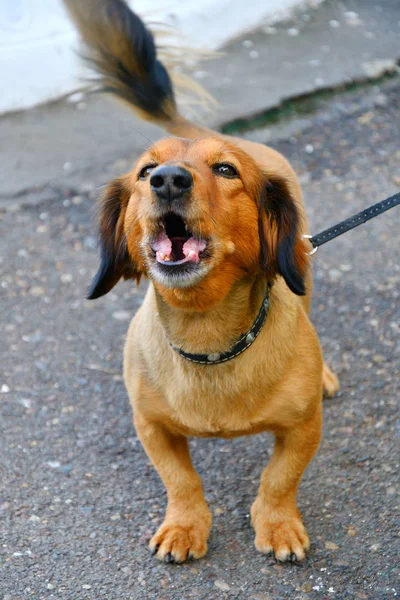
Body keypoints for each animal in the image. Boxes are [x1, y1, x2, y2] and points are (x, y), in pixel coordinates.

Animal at [64, 0, 340, 564]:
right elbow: (181, 481)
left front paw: (277, 524)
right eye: (145, 170)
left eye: (226, 170)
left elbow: (279, 478)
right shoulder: (151, 426)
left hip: (305, 267)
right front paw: (185, 526)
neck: (208, 336)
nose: (168, 178)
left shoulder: (303, 428)